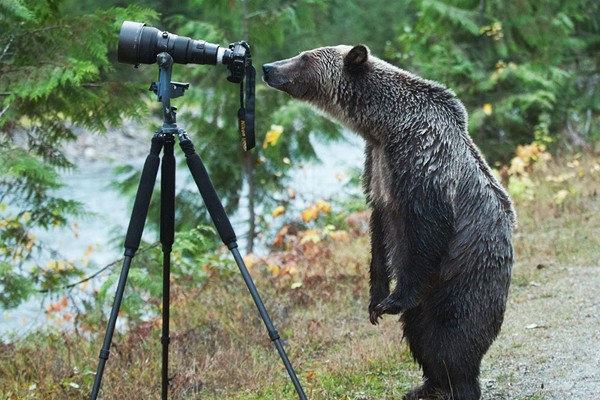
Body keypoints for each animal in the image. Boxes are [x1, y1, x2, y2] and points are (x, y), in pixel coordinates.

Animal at [262, 45, 516, 398]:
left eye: (304, 57)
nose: (268, 67)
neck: (384, 126)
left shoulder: (421, 161)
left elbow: (426, 229)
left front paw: (392, 300)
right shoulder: (377, 167)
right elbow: (379, 233)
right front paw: (375, 301)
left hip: (465, 275)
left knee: (452, 336)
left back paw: (459, 383)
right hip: (434, 294)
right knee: (419, 332)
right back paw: (427, 385)